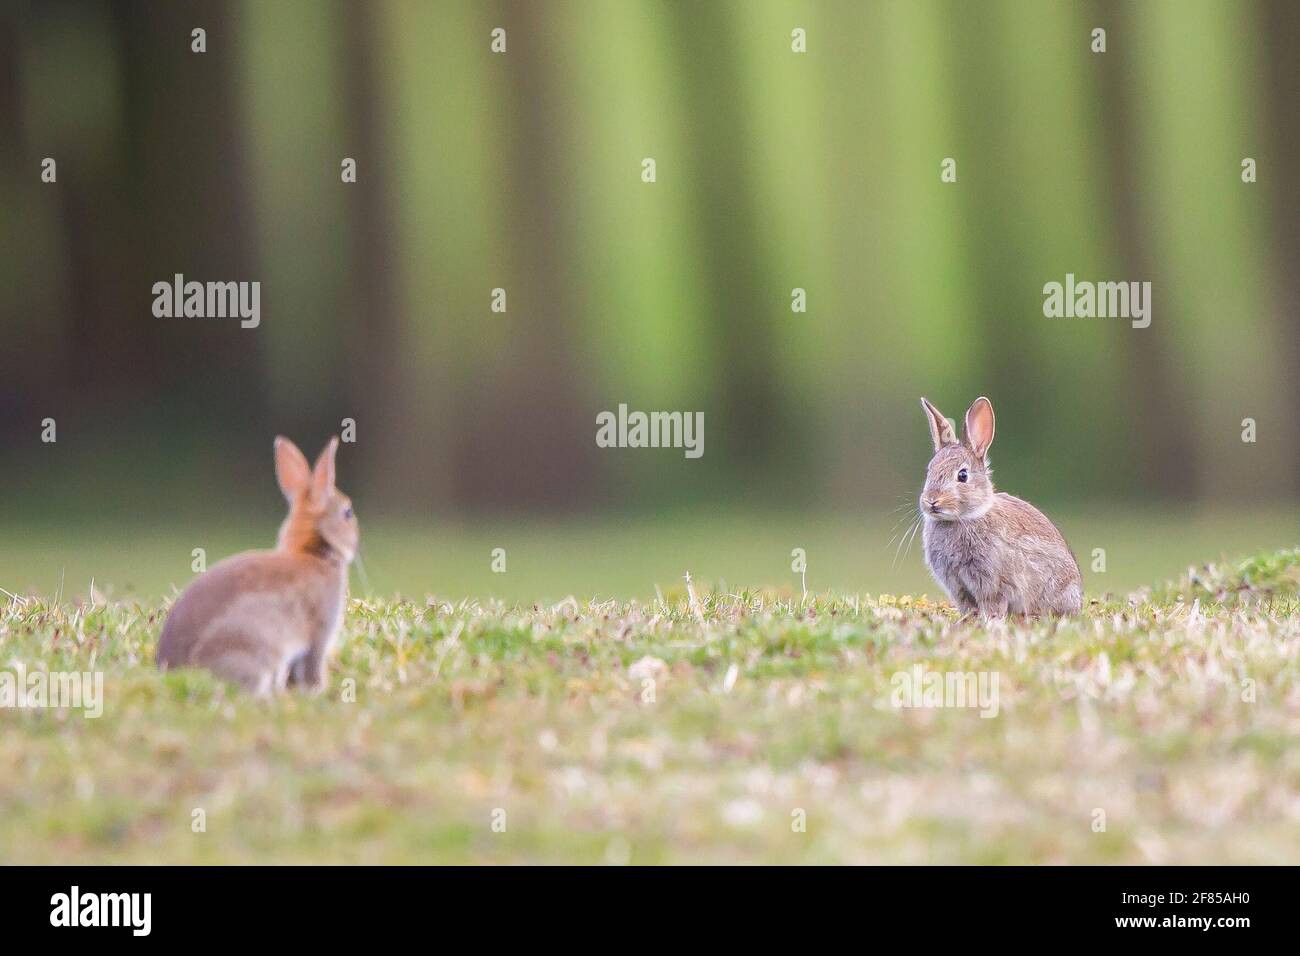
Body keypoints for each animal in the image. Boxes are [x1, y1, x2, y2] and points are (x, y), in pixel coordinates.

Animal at [918, 396, 1082, 619]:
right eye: (929, 471)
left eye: (962, 475)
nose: (932, 501)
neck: (966, 517)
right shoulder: (957, 585)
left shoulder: (993, 582)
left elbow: (994, 602)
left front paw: (989, 620)